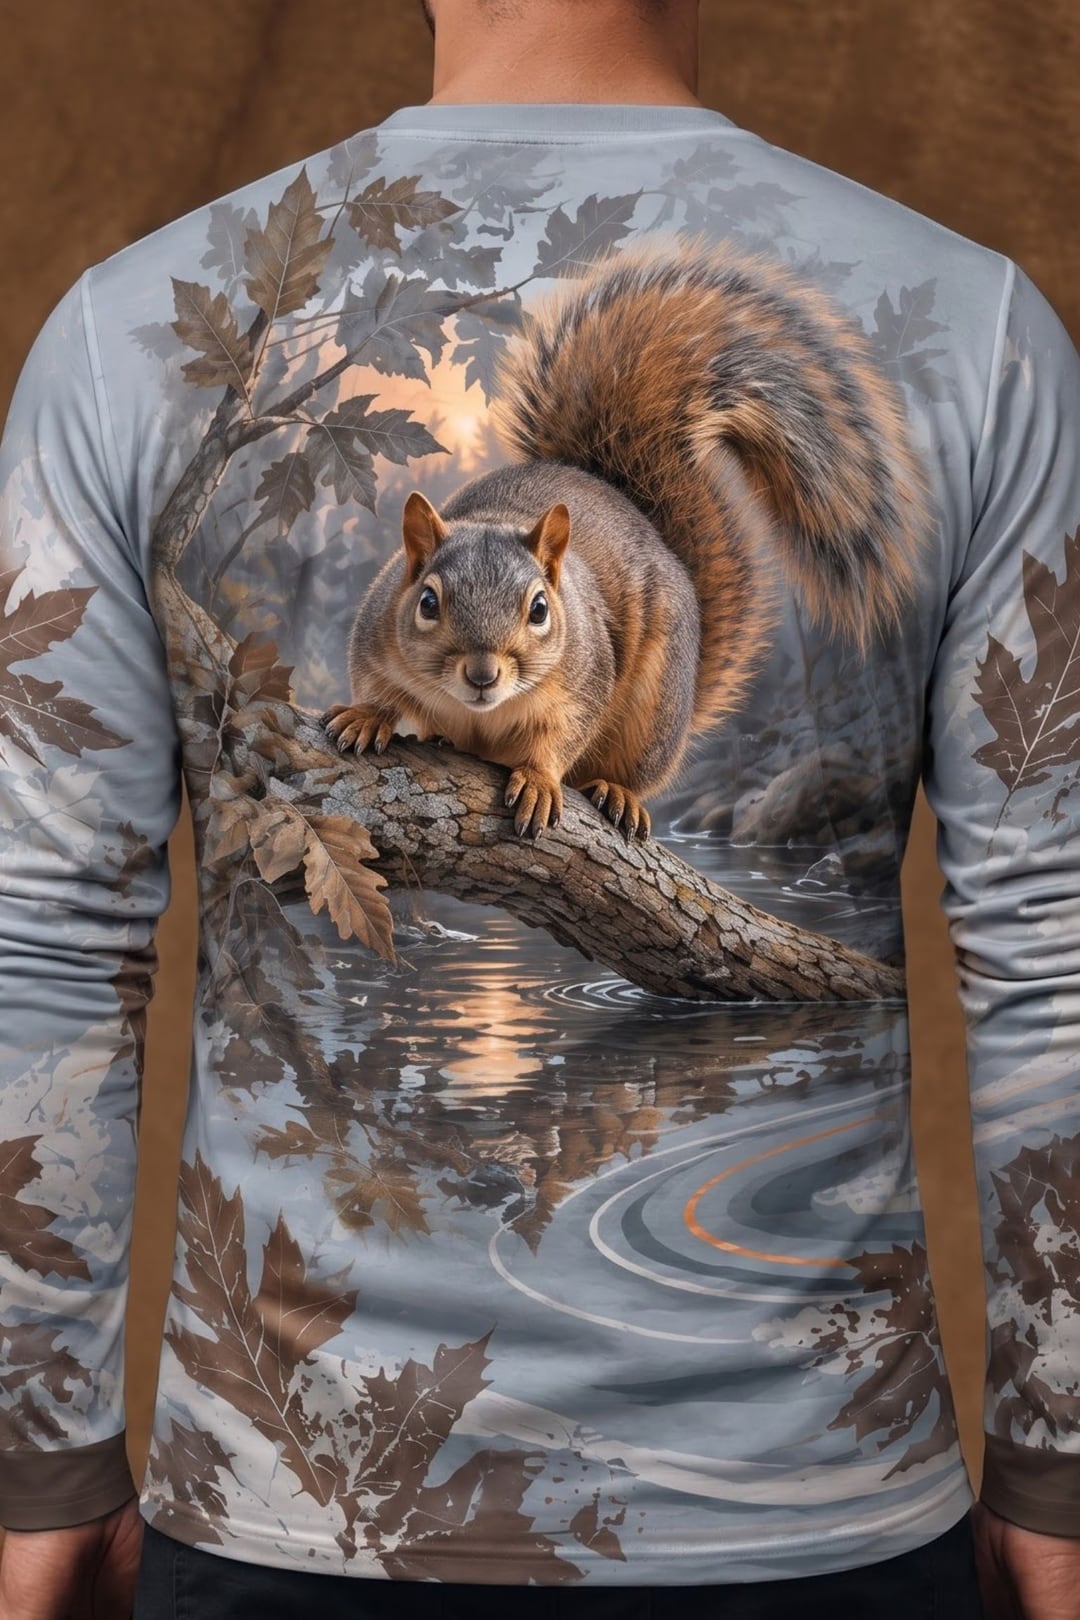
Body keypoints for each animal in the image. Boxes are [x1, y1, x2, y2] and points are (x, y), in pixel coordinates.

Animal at [322, 231, 932, 842]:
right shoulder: (377, 635)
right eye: (427, 602)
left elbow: (561, 737)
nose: (481, 674)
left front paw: (539, 779)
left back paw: (618, 792)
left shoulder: (583, 680)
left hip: (653, 709)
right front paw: (367, 716)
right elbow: (372, 683)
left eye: (540, 610)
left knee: (628, 767)